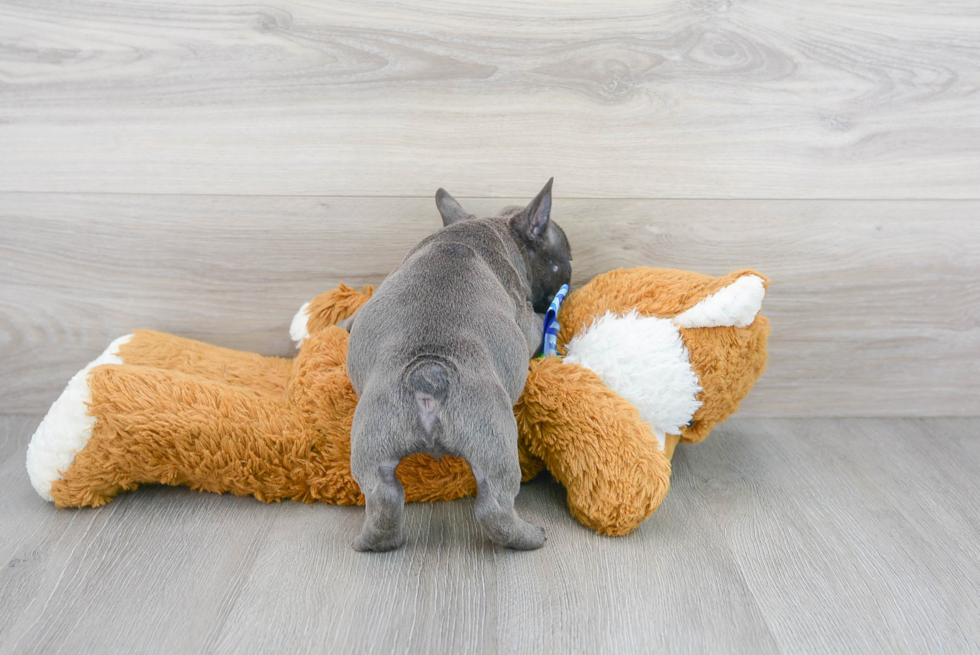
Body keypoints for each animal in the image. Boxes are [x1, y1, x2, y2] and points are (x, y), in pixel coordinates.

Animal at [346, 177, 572, 552]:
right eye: (568, 258)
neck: (487, 228)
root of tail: (428, 373)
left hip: (372, 436)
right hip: (494, 437)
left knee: (383, 499)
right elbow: (537, 322)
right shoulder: (526, 321)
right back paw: (529, 537)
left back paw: (374, 541)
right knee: (494, 506)